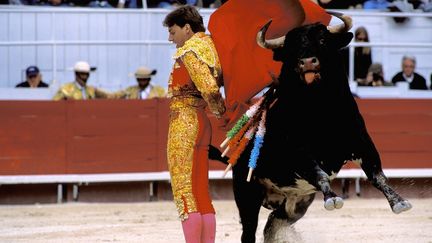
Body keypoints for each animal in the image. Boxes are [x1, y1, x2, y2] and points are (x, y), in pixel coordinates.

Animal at [211, 21, 414, 242]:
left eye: (323, 39)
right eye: (291, 48)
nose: (307, 62)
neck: (320, 109)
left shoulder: (362, 144)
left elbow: (377, 175)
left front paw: (399, 202)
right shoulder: (299, 154)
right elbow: (319, 173)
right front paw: (332, 198)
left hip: (296, 205)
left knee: (271, 225)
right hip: (246, 195)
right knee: (249, 231)